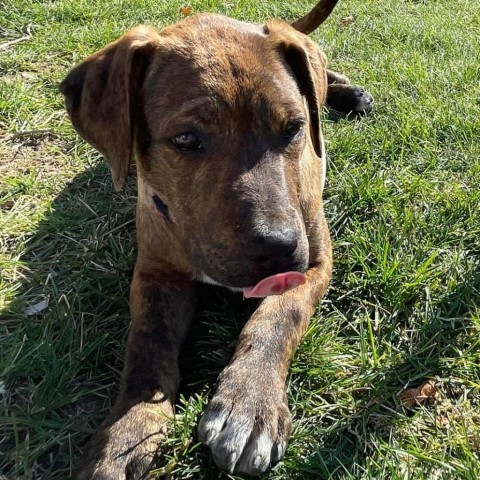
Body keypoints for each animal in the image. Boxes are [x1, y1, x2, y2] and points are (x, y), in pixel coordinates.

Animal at [60, 0, 374, 476]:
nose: (279, 248)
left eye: (294, 127)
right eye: (186, 139)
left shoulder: (315, 263)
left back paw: (346, 92)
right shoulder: (154, 271)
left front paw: (249, 404)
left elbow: (276, 318)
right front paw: (123, 435)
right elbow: (147, 344)